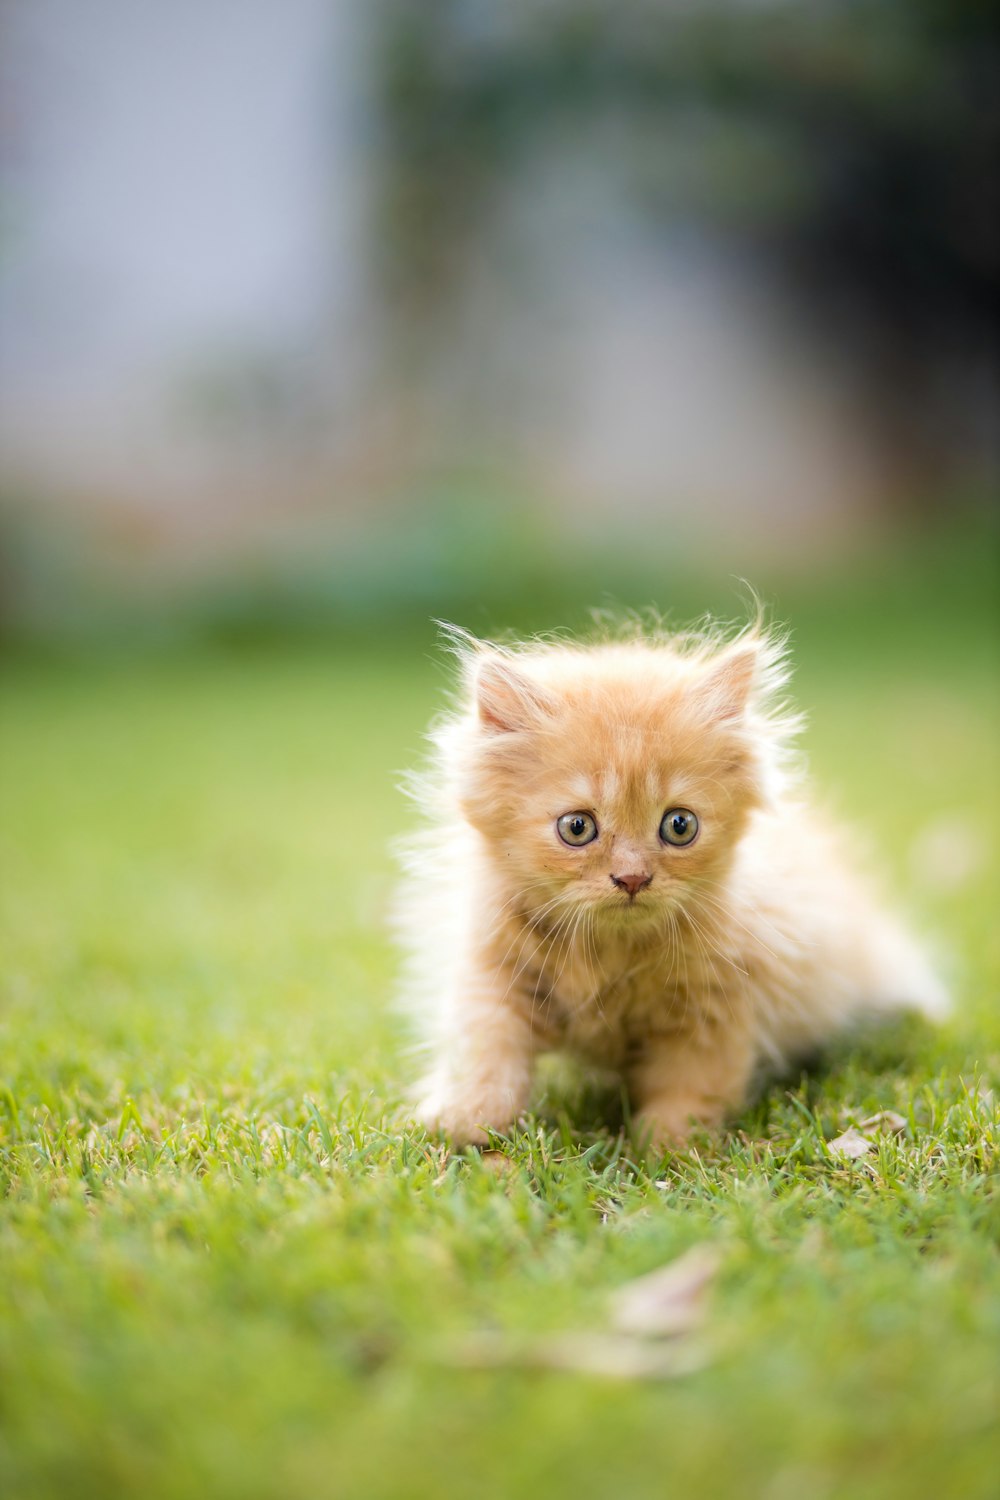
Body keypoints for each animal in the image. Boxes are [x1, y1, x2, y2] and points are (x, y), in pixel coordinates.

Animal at [395, 621, 947, 1146]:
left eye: (679, 826)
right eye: (577, 828)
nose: (632, 878)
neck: (611, 953)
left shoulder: (715, 1009)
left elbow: (689, 1088)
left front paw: (667, 1149)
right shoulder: (495, 975)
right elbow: (484, 1051)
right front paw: (467, 1121)